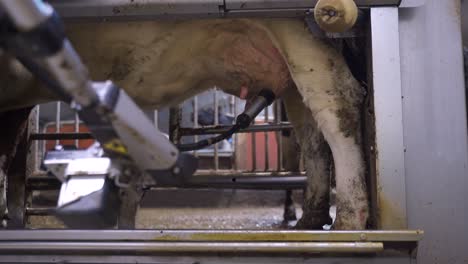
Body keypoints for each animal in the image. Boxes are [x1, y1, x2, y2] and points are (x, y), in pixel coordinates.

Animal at [0, 18, 370, 229]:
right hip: (289, 74)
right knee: (311, 133)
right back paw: (312, 218)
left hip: (299, 31)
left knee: (338, 105)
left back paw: (349, 219)